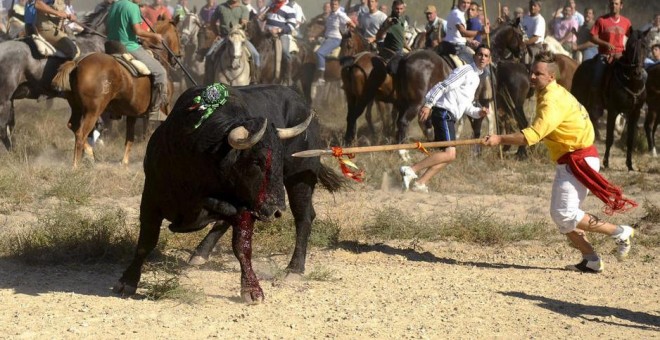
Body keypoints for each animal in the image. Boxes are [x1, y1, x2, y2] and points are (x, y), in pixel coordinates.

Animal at [51, 18, 183, 167]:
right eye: (178, 34)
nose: (179, 56)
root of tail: (78, 63)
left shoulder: (132, 113)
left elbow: (130, 138)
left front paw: (124, 162)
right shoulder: (165, 107)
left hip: (77, 107)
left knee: (73, 126)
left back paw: (89, 154)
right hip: (93, 111)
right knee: (81, 134)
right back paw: (76, 165)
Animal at [568, 30, 648, 171]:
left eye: (644, 45)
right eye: (631, 46)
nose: (637, 72)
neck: (631, 82)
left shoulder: (635, 112)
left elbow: (630, 140)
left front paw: (630, 165)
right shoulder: (613, 110)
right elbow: (609, 138)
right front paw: (605, 162)